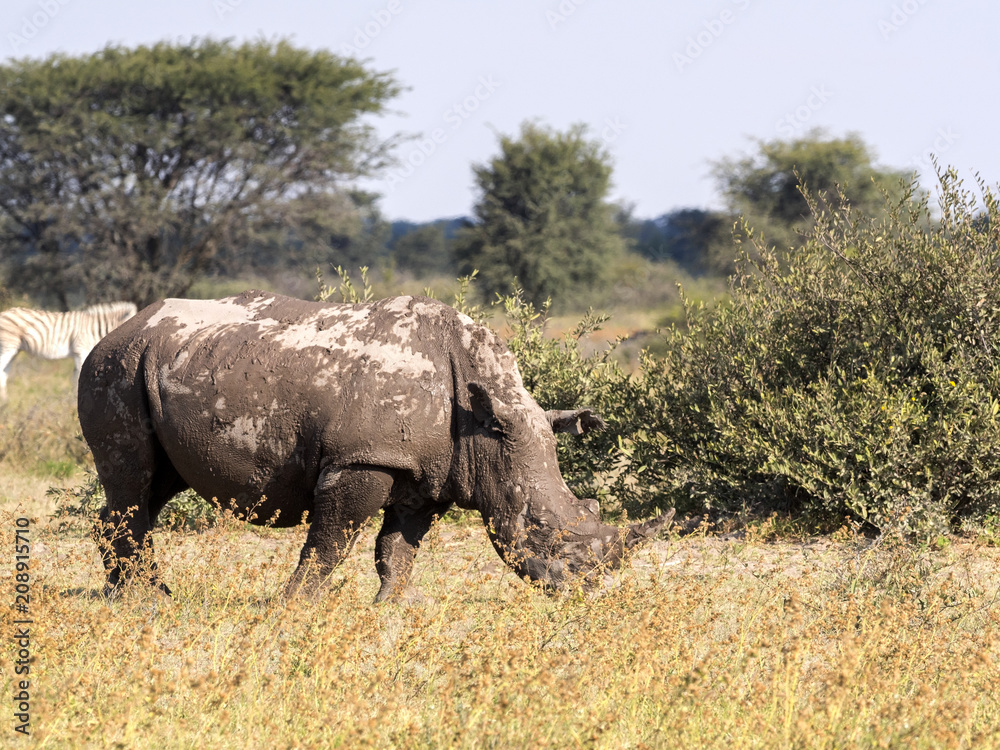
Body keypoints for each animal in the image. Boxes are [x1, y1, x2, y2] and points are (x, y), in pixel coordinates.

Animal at [78, 291, 673, 601]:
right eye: (542, 530)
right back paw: (139, 602)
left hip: (157, 364)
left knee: (154, 487)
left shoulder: (428, 472)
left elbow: (398, 548)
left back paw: (141, 594)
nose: (584, 594)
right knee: (133, 481)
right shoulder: (363, 458)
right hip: (117, 367)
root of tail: (121, 327)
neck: (485, 423)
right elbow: (331, 540)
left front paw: (395, 607)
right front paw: (295, 606)